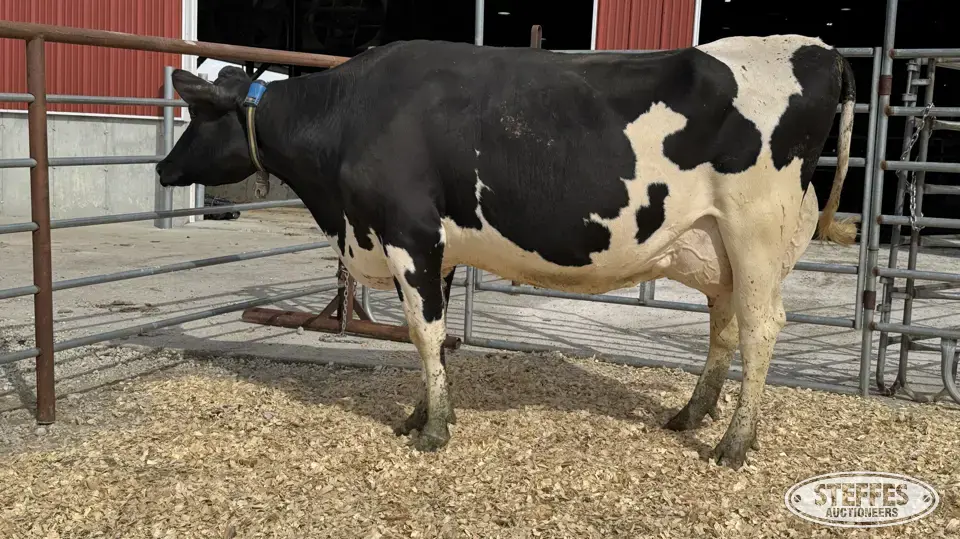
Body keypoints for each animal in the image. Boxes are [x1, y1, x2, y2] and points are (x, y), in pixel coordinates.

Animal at [156, 34, 857, 469]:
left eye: (199, 117)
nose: (163, 168)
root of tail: (820, 50)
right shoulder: (438, 246)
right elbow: (437, 340)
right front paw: (422, 413)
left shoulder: (409, 233)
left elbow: (423, 332)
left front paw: (433, 430)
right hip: (719, 244)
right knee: (725, 323)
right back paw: (693, 414)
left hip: (756, 230)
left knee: (761, 328)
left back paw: (734, 444)